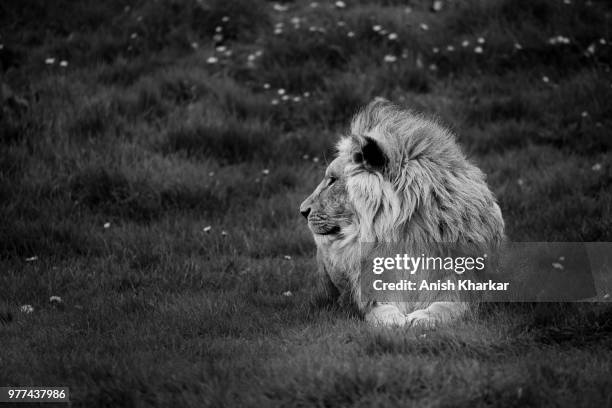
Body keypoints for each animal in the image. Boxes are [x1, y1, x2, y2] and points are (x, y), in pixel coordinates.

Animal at [298, 99, 504, 328]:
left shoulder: (464, 285)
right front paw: (394, 321)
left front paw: (423, 318)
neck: (408, 235)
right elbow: (380, 309)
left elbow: (449, 307)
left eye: (332, 180)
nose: (302, 211)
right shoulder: (374, 292)